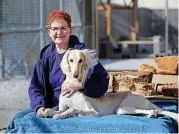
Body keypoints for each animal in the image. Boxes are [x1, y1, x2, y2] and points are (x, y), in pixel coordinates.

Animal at [49, 48, 178, 123]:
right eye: (71, 60)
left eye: (80, 60)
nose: (75, 75)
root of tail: (146, 99)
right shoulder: (61, 107)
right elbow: (57, 110)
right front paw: (52, 113)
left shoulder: (94, 112)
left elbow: (73, 109)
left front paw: (63, 115)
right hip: (123, 110)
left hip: (124, 107)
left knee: (153, 111)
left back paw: (152, 114)